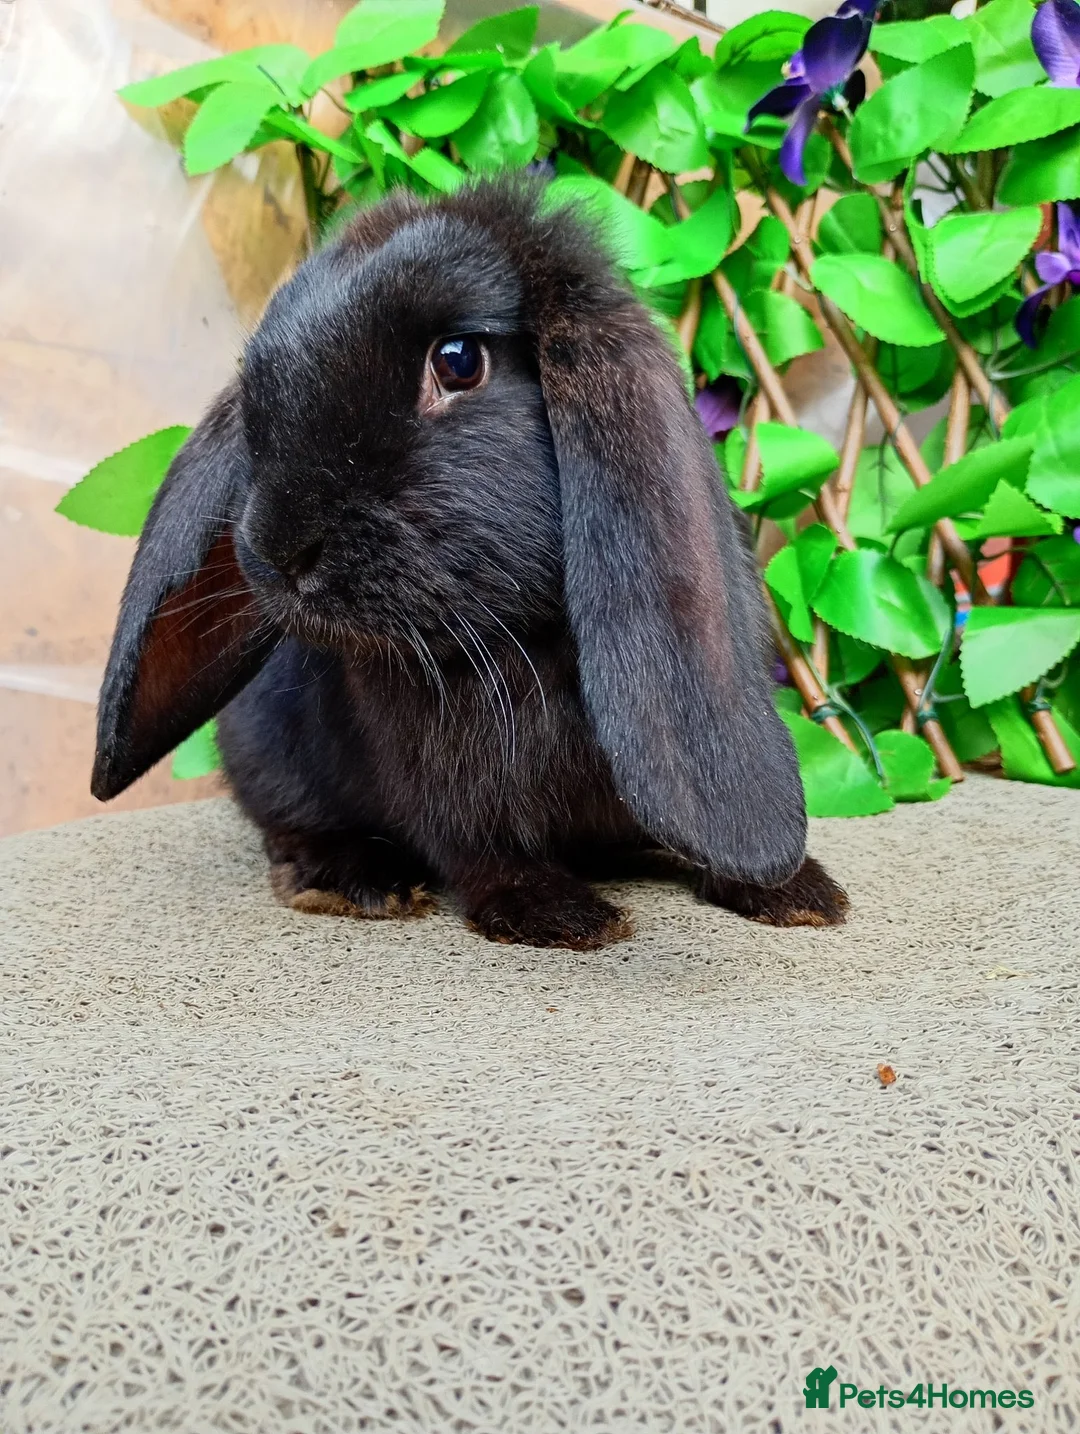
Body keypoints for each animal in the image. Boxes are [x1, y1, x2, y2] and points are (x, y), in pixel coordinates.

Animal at [92, 177, 847, 950]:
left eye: (458, 360)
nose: (281, 549)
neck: (523, 640)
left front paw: (799, 894)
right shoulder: (439, 783)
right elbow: (479, 848)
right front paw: (559, 913)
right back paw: (356, 880)